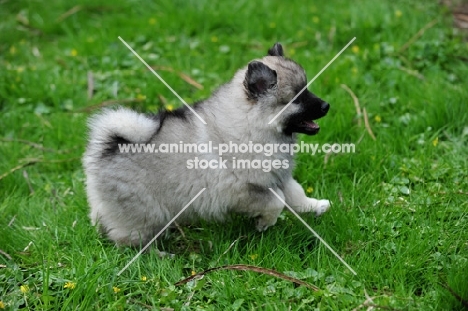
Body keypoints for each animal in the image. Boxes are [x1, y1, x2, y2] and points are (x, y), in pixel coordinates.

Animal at [85, 42, 332, 247]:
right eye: (296, 99)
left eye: (307, 89)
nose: (326, 106)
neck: (250, 123)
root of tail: (107, 149)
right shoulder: (243, 190)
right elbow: (277, 201)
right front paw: (265, 223)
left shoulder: (279, 176)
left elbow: (295, 193)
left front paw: (314, 206)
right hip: (145, 213)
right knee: (128, 241)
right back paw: (158, 254)